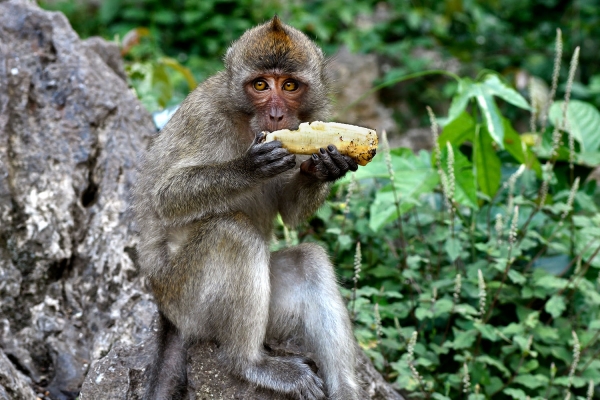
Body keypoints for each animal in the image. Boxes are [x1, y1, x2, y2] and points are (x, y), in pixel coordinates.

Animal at [133, 16, 360, 400]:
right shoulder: (205, 118)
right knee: (233, 231)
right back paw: (249, 363)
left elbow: (290, 213)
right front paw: (249, 167)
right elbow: (165, 197)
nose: (276, 114)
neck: (243, 119)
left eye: (289, 85)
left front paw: (327, 165)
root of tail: (166, 311)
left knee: (308, 260)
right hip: (187, 300)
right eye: (260, 85)